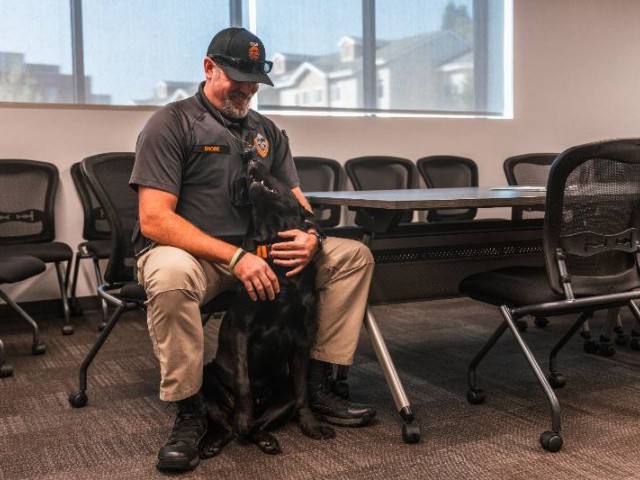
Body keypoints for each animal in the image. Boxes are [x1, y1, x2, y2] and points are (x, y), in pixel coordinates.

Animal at [200, 156, 336, 456]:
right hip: (207, 378)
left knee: (261, 422)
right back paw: (216, 437)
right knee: (221, 420)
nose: (251, 158)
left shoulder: (302, 339)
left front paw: (311, 425)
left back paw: (264, 438)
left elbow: (303, 391)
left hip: (282, 390)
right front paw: (243, 416)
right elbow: (243, 381)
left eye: (277, 174)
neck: (274, 243)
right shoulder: (241, 329)